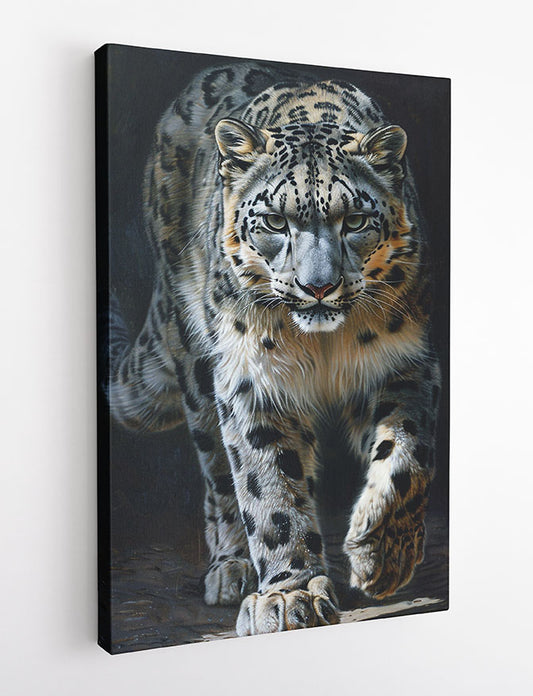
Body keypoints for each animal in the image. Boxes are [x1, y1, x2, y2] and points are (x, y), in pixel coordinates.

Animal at [107, 60, 441, 637]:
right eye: (275, 222)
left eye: (355, 220)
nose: (318, 286)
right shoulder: (253, 380)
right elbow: (269, 488)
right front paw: (290, 596)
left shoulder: (404, 362)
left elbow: (408, 455)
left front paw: (381, 556)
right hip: (198, 365)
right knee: (219, 473)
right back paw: (231, 567)